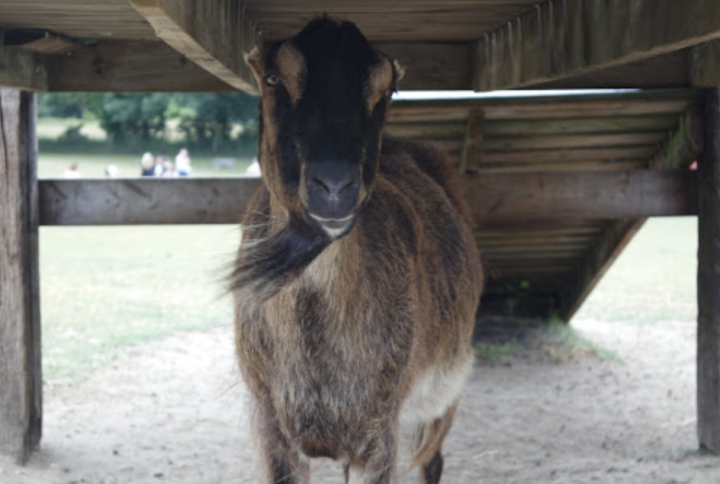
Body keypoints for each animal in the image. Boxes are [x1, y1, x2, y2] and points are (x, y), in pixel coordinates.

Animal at [233, 18, 484, 484]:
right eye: (274, 78)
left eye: (386, 90)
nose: (334, 185)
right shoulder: (271, 427)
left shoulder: (378, 433)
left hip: (446, 387)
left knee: (432, 460)